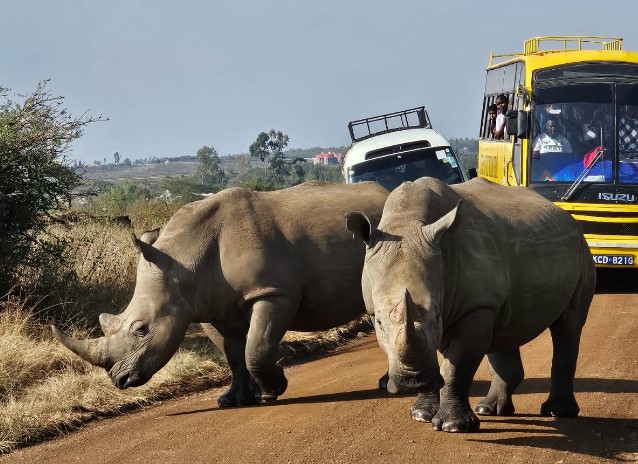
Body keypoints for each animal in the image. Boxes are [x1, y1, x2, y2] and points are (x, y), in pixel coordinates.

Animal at [348, 177, 596, 432]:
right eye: (378, 322)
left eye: (437, 318)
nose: (413, 382)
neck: (406, 222)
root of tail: (564, 214)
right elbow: (433, 353)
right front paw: (421, 414)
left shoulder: (474, 307)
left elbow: (456, 366)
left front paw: (453, 426)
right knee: (507, 327)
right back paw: (489, 409)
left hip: (581, 247)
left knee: (567, 327)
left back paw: (558, 412)